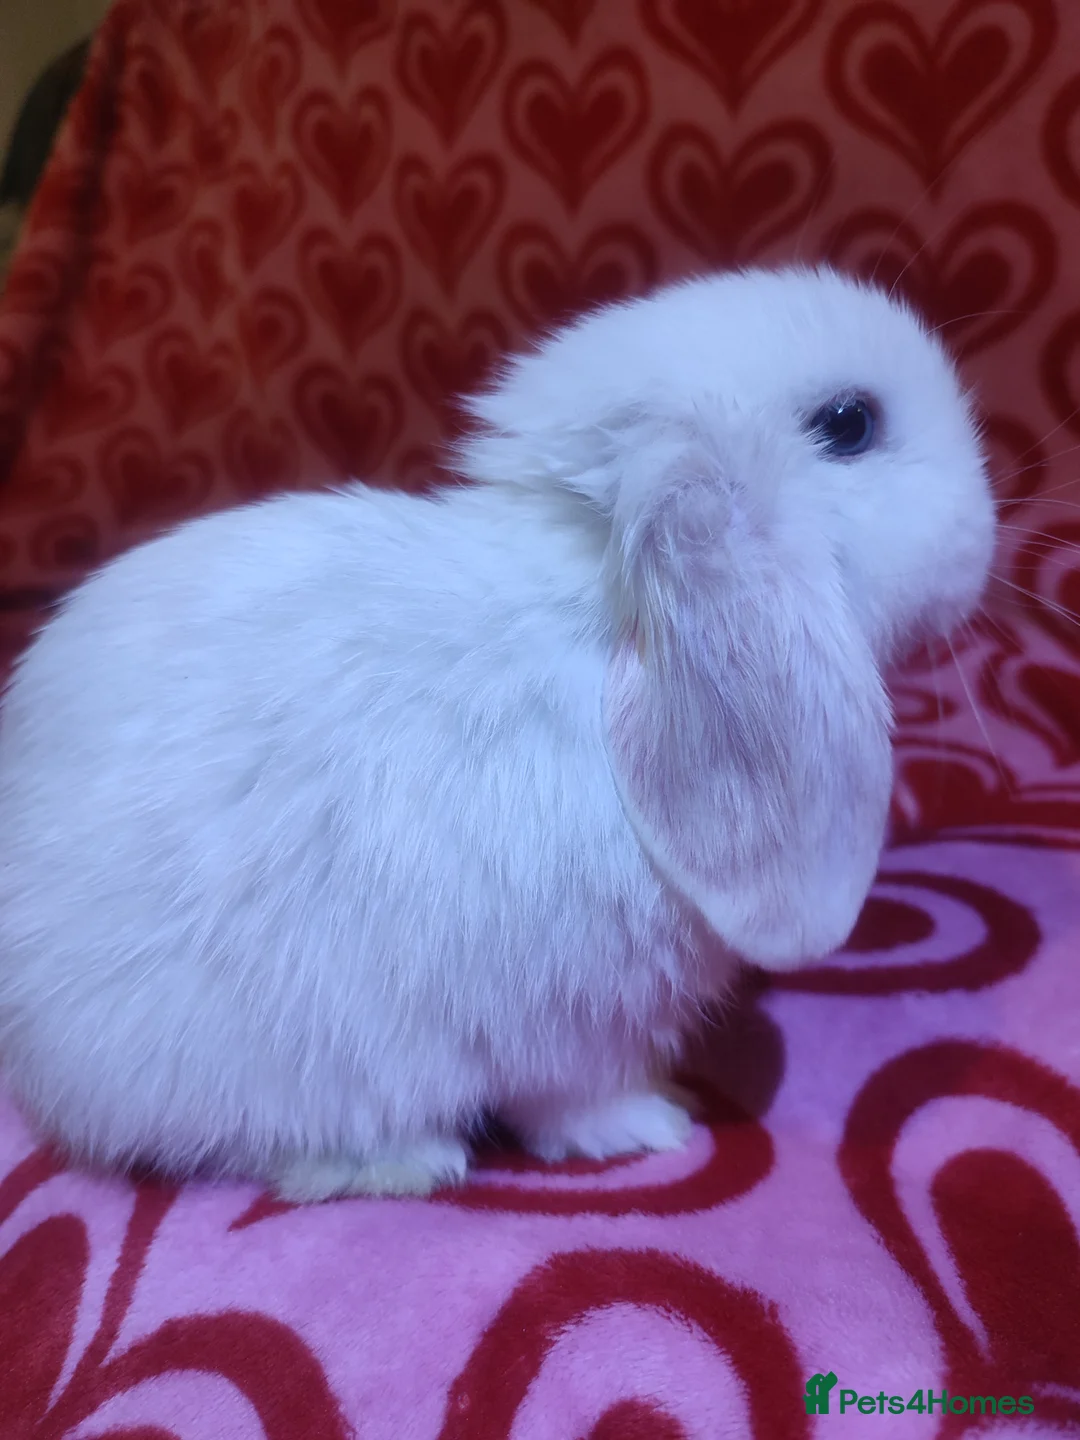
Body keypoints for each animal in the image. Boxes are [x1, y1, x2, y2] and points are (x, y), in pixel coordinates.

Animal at [0, 265, 994, 1201]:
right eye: (849, 424)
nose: (986, 529)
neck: (601, 623)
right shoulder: (577, 1028)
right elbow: (578, 1102)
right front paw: (657, 1124)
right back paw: (407, 1161)